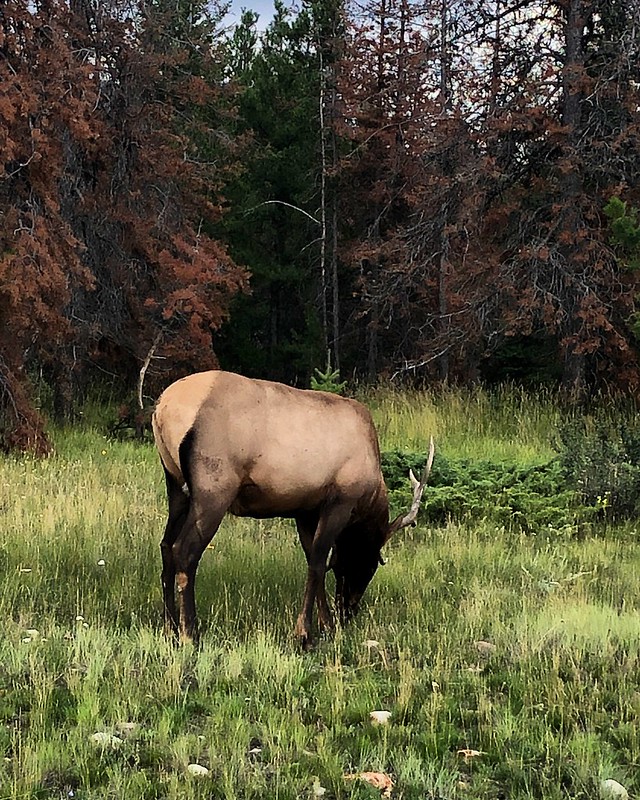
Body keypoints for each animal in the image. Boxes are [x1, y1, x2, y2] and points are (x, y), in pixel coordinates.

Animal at [151, 372, 436, 648]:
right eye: (369, 562)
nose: (348, 611)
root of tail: (163, 408)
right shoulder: (340, 501)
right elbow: (319, 562)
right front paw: (306, 634)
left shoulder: (305, 510)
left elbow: (313, 559)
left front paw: (325, 624)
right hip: (214, 487)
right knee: (184, 550)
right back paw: (191, 633)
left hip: (176, 484)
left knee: (166, 545)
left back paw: (170, 627)